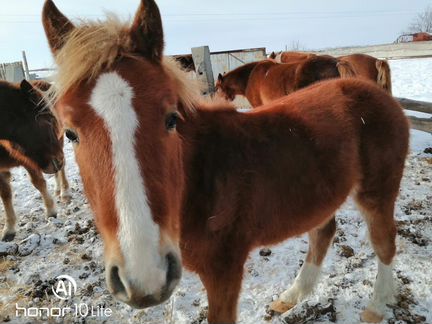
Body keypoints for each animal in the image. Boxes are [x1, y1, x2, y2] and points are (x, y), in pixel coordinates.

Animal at [0, 79, 65, 240]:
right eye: (48, 120)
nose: (58, 160)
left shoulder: (28, 161)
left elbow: (38, 182)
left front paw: (51, 210)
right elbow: (5, 193)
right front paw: (9, 228)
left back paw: (65, 192)